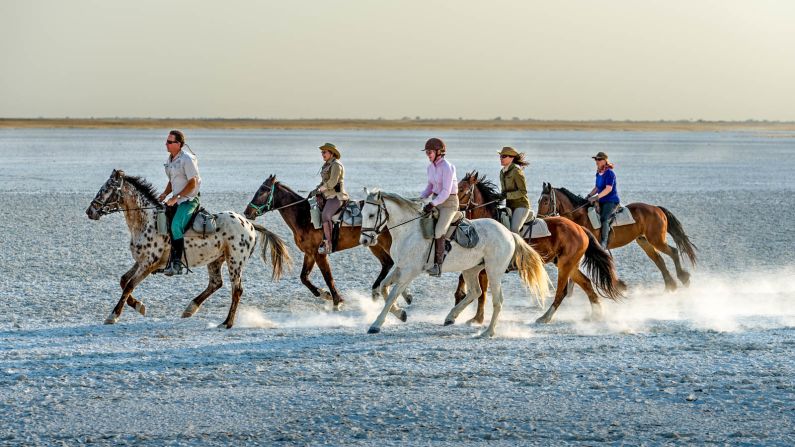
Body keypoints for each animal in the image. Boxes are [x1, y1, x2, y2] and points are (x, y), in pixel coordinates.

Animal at [84, 170, 290, 328]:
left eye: (106, 190)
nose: (90, 211)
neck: (146, 220)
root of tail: (249, 224)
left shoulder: (149, 264)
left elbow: (129, 285)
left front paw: (113, 316)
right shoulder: (141, 261)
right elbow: (123, 281)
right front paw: (139, 306)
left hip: (235, 262)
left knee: (237, 289)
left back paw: (227, 323)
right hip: (216, 260)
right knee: (216, 283)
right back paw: (190, 309)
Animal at [246, 175, 414, 316]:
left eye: (264, 191)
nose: (247, 212)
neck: (304, 216)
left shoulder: (320, 254)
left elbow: (328, 277)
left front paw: (336, 301)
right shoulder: (310, 253)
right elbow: (304, 277)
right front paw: (324, 294)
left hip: (385, 243)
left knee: (397, 263)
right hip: (374, 244)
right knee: (388, 263)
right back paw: (387, 293)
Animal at [360, 187, 552, 338]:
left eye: (371, 215)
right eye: (361, 214)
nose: (365, 240)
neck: (408, 231)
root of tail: (508, 233)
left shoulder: (410, 271)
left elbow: (392, 294)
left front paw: (376, 324)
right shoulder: (400, 267)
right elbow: (383, 288)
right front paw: (401, 314)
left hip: (493, 272)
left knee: (497, 301)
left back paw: (488, 332)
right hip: (471, 269)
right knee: (475, 291)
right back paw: (451, 317)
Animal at [450, 171, 624, 322]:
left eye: (461, 189)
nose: (452, 206)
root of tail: (579, 228)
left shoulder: (485, 268)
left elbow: (482, 293)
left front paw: (476, 319)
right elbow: (468, 284)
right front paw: (462, 305)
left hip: (565, 264)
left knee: (562, 291)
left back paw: (545, 317)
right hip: (567, 263)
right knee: (587, 284)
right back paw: (596, 316)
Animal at [536, 182, 700, 290]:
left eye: (546, 200)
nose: (539, 218)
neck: (579, 215)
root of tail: (657, 209)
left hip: (656, 239)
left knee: (673, 251)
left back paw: (683, 278)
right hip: (644, 241)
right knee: (658, 259)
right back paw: (670, 285)